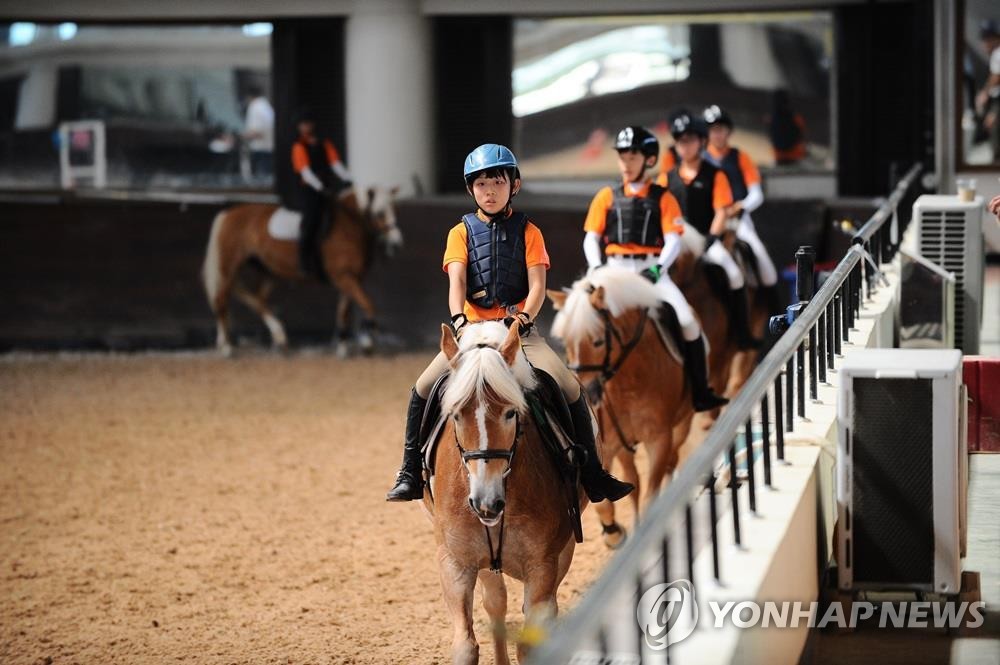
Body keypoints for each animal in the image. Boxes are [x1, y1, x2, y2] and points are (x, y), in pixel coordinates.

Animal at [199, 184, 402, 356]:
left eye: (394, 209)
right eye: (380, 212)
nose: (397, 241)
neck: (349, 224)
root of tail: (227, 214)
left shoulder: (350, 277)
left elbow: (344, 312)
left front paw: (343, 347)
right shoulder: (343, 276)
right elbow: (368, 304)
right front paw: (368, 343)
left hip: (267, 270)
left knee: (255, 298)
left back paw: (279, 337)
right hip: (229, 264)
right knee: (222, 299)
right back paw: (226, 347)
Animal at [430, 320, 584, 660]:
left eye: (511, 413)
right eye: (456, 414)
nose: (485, 503)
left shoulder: (543, 563)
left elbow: (530, 641)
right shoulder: (455, 561)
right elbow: (465, 645)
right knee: (496, 604)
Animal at [548, 268, 696, 548]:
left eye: (597, 342)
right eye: (565, 344)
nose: (586, 392)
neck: (629, 385)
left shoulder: (659, 439)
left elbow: (651, 492)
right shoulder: (610, 446)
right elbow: (606, 499)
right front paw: (614, 533)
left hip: (682, 422)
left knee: (673, 457)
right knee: (635, 477)